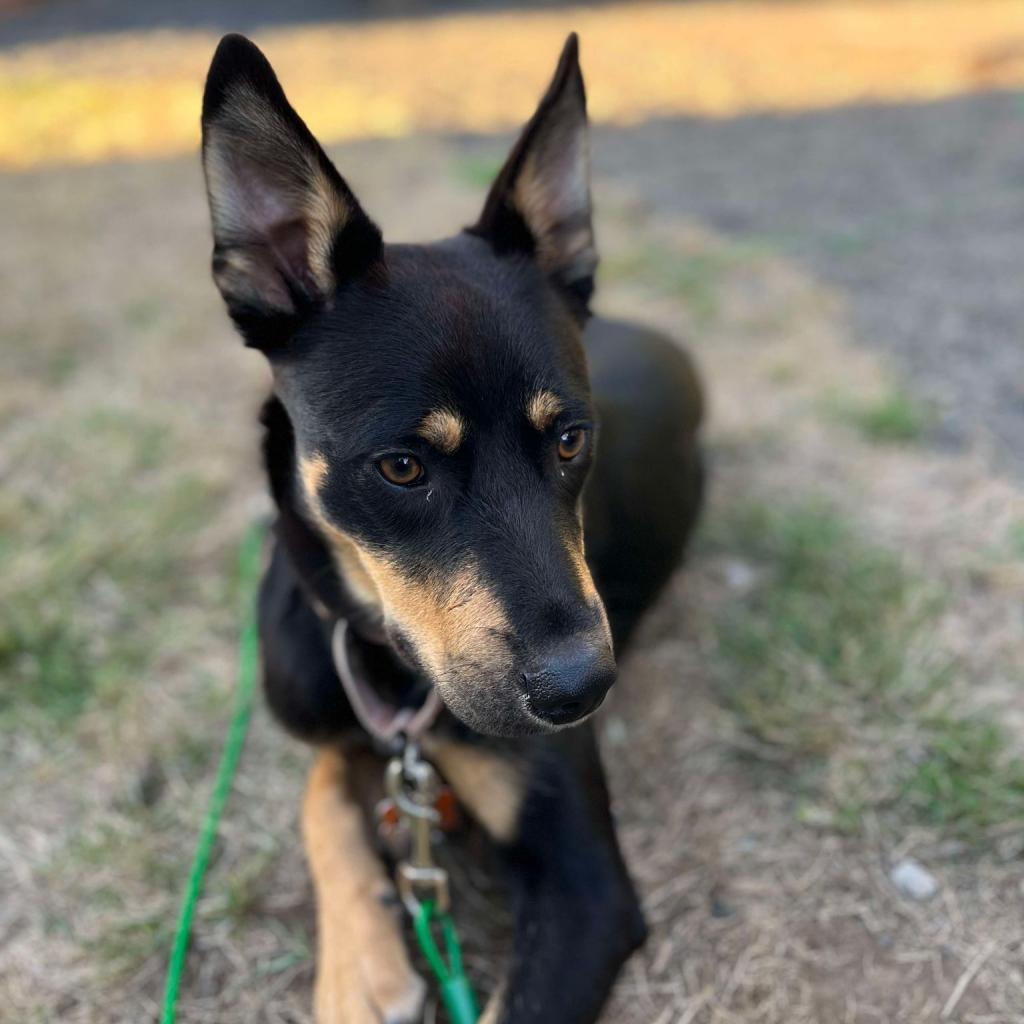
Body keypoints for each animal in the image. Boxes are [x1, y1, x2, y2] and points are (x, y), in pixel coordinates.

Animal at [199, 32, 704, 1024]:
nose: (583, 690)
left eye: (571, 440)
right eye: (403, 466)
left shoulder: (587, 889)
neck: (397, 673)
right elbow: (322, 788)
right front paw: (360, 971)